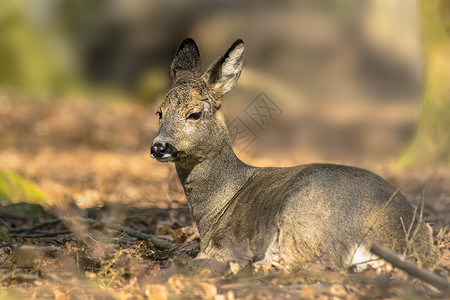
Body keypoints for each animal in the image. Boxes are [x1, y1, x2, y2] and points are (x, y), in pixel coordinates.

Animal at [150, 38, 432, 270]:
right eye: (159, 112)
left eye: (194, 113)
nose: (159, 147)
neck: (217, 206)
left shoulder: (226, 246)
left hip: (304, 217)